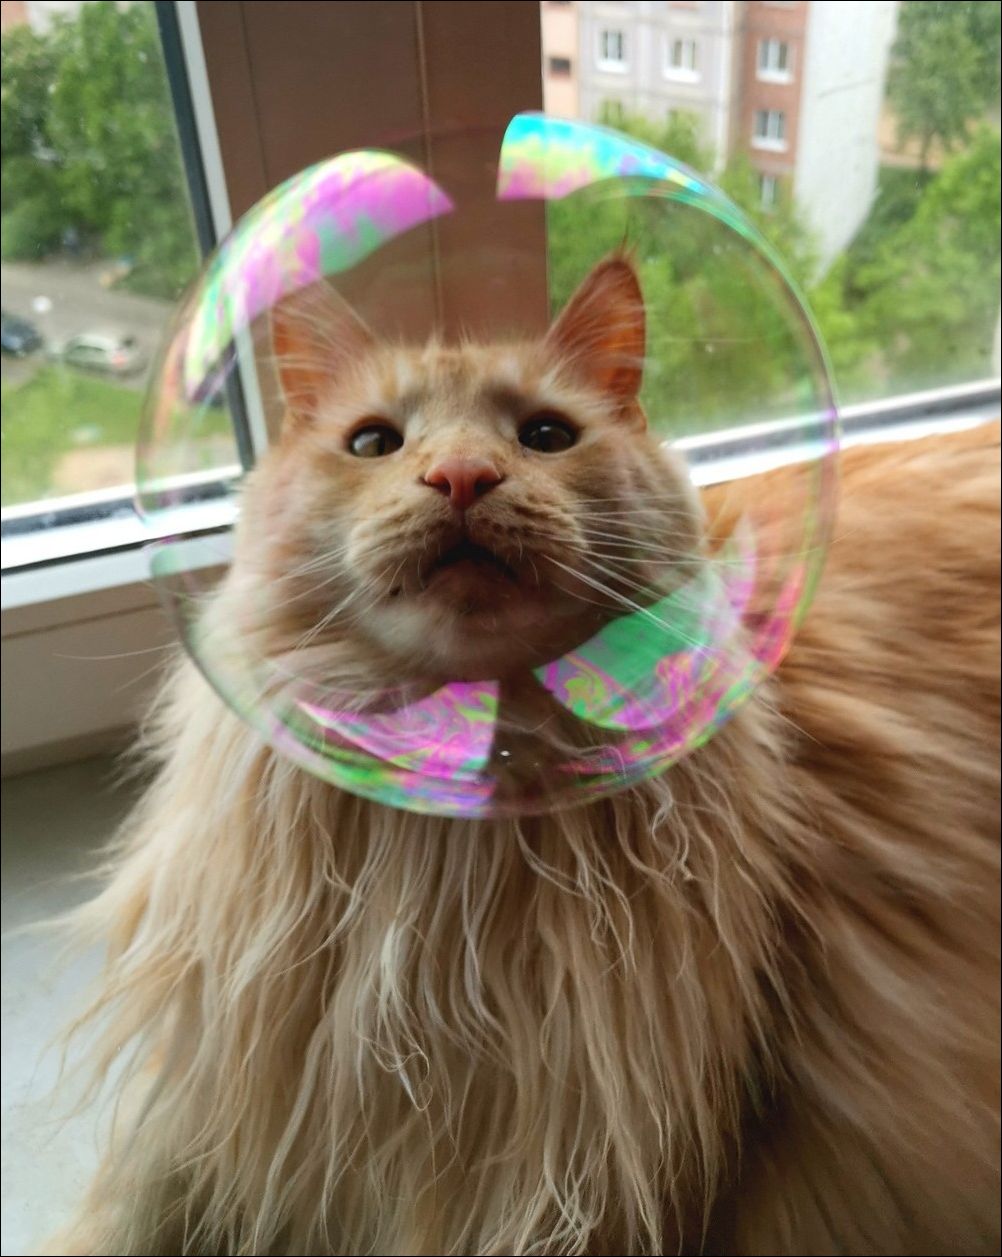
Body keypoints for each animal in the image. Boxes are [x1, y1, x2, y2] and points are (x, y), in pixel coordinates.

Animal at [53, 253, 1000, 1255]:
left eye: (547, 436)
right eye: (373, 443)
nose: (462, 475)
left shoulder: (633, 1171)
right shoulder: (225, 1112)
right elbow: (118, 1215)